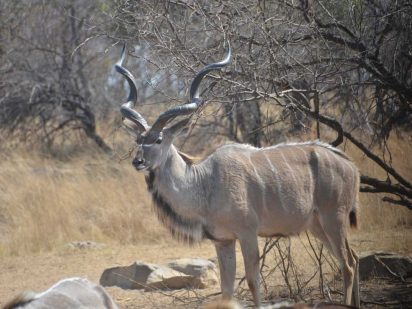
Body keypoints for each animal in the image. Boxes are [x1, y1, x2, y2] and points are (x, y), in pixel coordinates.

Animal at [114, 43, 358, 306]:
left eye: (158, 139)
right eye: (139, 139)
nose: (137, 161)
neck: (205, 182)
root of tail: (350, 166)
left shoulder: (248, 234)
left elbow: (252, 282)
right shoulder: (223, 241)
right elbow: (226, 289)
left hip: (333, 218)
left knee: (348, 265)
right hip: (317, 225)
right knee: (353, 258)